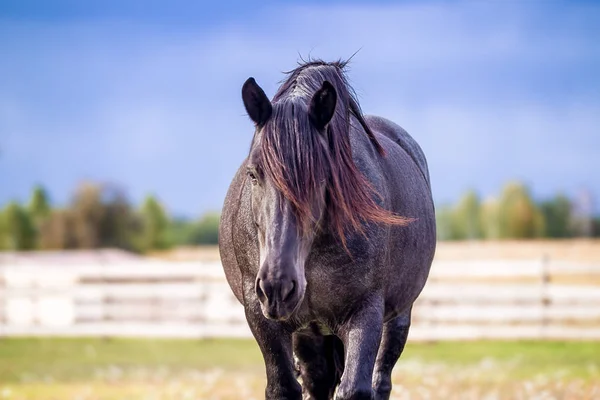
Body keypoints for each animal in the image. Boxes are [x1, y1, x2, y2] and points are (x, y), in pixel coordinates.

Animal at [218, 59, 434, 400]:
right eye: (253, 174)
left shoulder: (365, 312)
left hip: (397, 318)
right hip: (309, 334)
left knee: (380, 380)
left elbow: (355, 388)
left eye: (322, 176)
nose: (277, 286)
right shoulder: (261, 316)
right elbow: (283, 386)